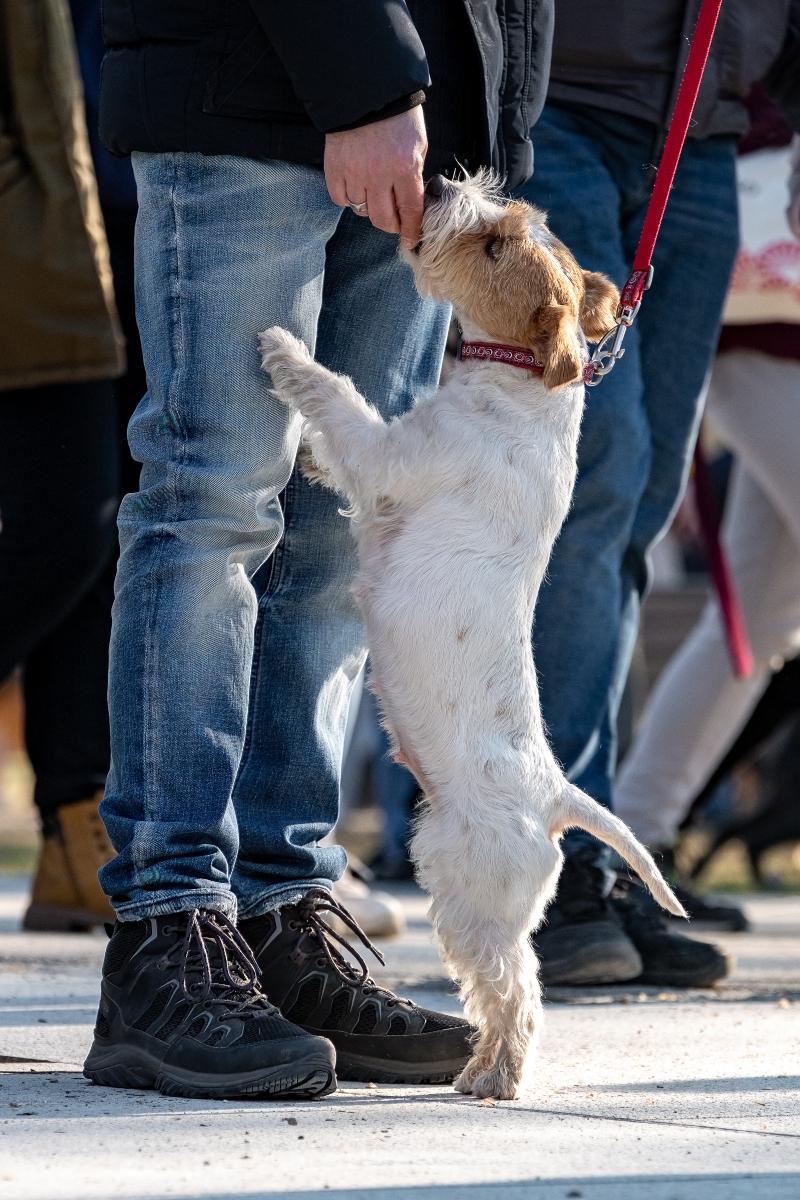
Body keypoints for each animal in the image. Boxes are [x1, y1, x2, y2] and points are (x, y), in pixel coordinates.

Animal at [260, 174, 686, 1099]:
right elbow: (335, 442)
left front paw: (280, 347)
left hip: (469, 896)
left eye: (494, 246)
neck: (524, 386)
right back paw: (475, 1073)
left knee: (516, 992)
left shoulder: (388, 456)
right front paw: (305, 450)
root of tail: (558, 796)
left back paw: (493, 1080)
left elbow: (342, 400)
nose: (439, 184)